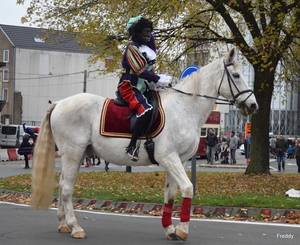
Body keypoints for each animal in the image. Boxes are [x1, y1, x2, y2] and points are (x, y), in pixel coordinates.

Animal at [31, 48, 258, 241]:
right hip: (73, 153)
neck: (184, 108)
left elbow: (170, 195)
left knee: (62, 185)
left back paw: (63, 224)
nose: (253, 105)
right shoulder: (168, 158)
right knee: (67, 188)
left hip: (77, 155)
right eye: (236, 75)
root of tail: (59, 103)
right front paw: (182, 231)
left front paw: (170, 229)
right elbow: (187, 188)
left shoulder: (179, 160)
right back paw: (75, 227)